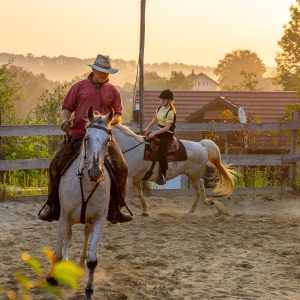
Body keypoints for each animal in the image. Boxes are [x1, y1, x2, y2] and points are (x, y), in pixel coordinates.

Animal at [47, 108, 112, 300]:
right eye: (86, 138)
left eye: (108, 140)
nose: (95, 172)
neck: (86, 183)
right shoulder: (64, 217)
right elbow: (58, 252)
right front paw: (52, 278)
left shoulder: (99, 221)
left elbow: (93, 260)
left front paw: (89, 290)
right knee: (68, 238)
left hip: (88, 222)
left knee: (85, 235)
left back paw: (80, 262)